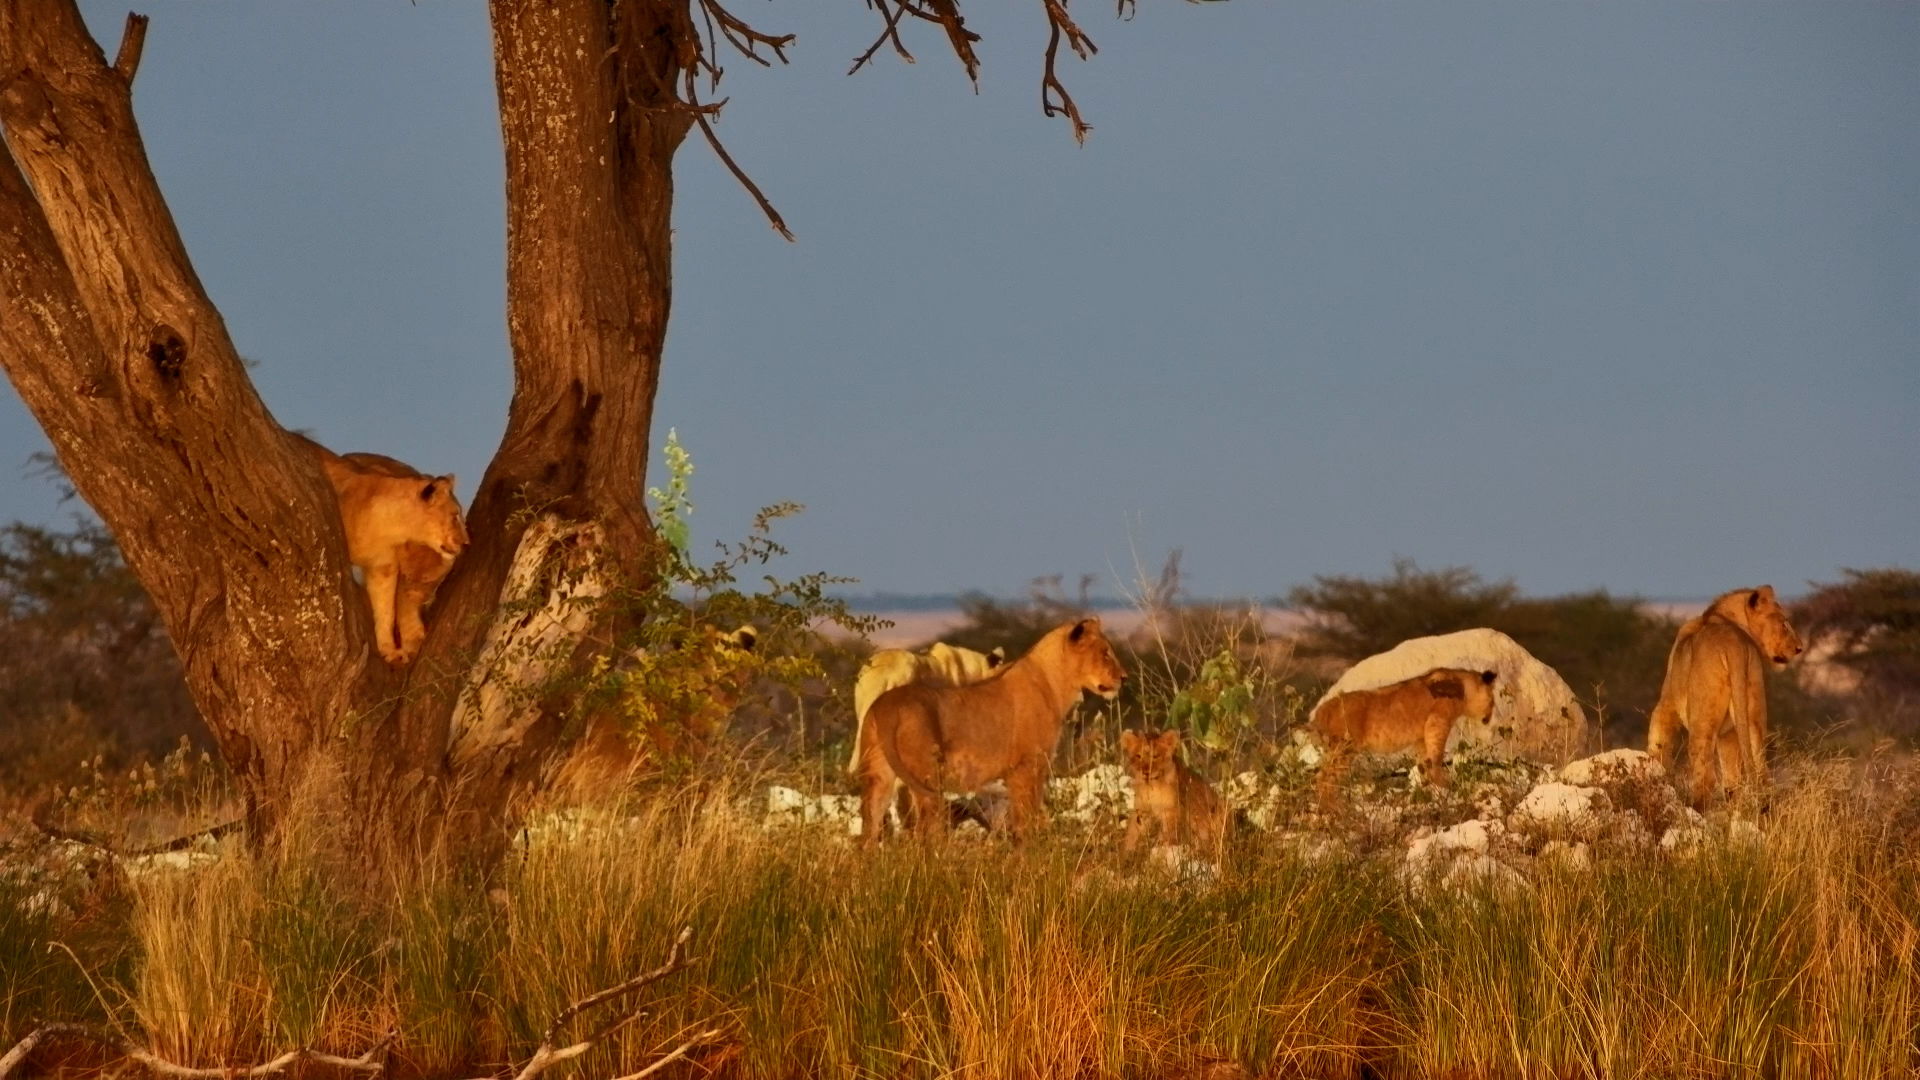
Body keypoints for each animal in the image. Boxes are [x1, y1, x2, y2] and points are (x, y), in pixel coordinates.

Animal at [294, 433, 468, 665]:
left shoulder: (383, 567)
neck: (394, 526)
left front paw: (389, 650)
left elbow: (386, 610)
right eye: (455, 516)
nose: (466, 542)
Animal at [859, 617, 1126, 844]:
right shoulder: (1027, 768)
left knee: (870, 826)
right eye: (1105, 653)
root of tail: (886, 706)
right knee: (925, 831)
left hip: (878, 776)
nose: (1124, 677)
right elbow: (1026, 816)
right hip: (926, 778)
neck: (1054, 683)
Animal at [1310, 667, 1498, 805]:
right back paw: (1334, 808)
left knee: (1320, 777)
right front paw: (1446, 784)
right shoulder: (1437, 723)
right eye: (1492, 700)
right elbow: (1435, 757)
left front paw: (1426, 790)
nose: (1490, 715)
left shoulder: (1421, 738)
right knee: (1324, 779)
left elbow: (1424, 763)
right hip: (1344, 749)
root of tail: (1322, 710)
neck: (1463, 686)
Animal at [1646, 585, 1803, 807]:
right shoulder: (1729, 731)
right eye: (1783, 623)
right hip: (1754, 712)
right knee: (1756, 772)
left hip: (1702, 719)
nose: (1799, 648)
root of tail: (1733, 643)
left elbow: (1659, 738)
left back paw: (1695, 808)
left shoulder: (1668, 701)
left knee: (1705, 776)